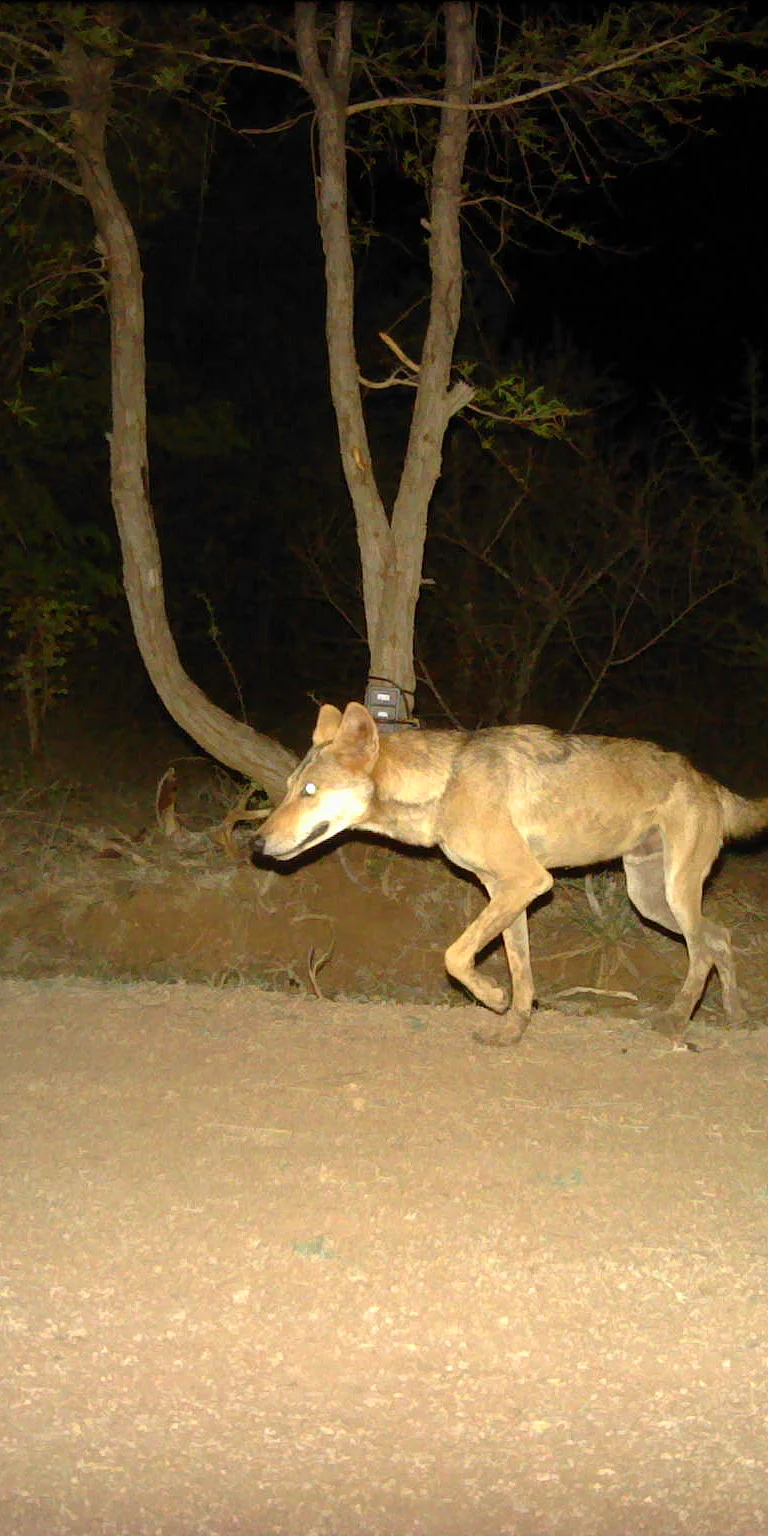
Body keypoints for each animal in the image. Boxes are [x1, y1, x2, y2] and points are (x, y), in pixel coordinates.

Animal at [251, 701, 768, 1041]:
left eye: (310, 791)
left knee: (702, 953)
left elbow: (455, 956)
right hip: (650, 899)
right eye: (289, 787)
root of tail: (709, 782)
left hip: (672, 896)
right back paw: (736, 1013)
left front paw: (493, 999)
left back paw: (677, 1021)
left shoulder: (526, 882)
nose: (254, 843)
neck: (445, 785)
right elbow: (521, 970)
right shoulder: (507, 890)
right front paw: (513, 1027)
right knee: (720, 937)